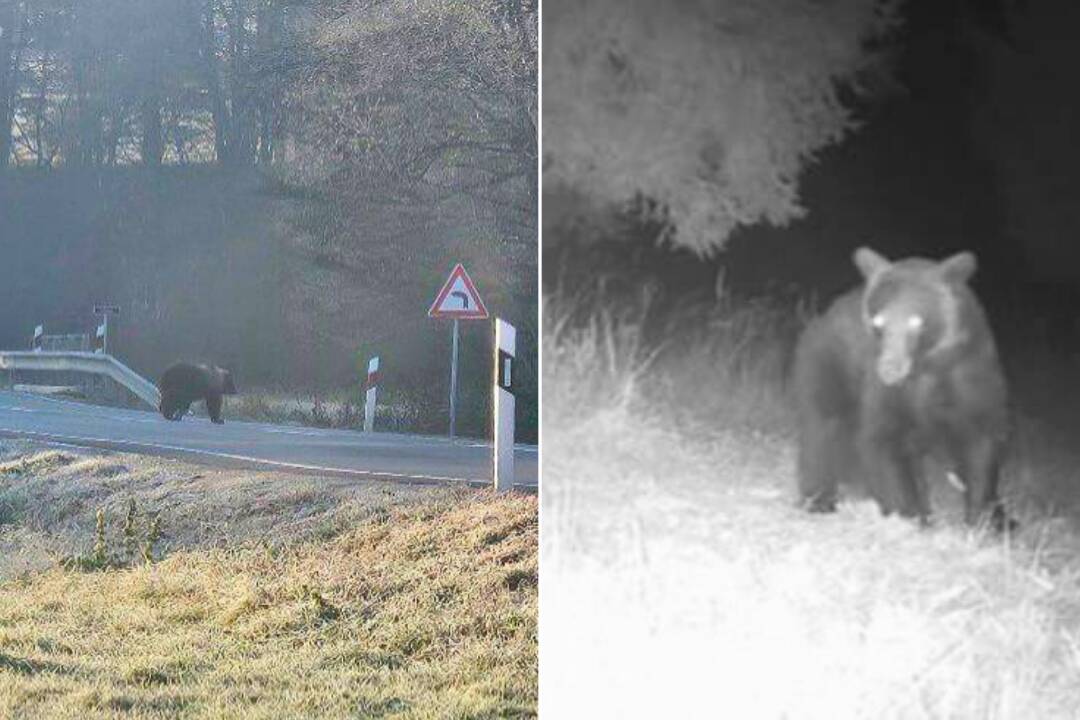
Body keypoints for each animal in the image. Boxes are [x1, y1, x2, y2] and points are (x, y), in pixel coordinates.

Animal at [794, 248, 1010, 528]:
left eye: (916, 321)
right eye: (879, 322)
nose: (889, 369)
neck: (926, 368)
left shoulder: (970, 373)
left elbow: (980, 440)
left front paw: (983, 520)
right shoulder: (884, 390)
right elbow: (882, 439)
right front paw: (911, 516)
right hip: (828, 366)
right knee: (821, 431)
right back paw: (818, 500)